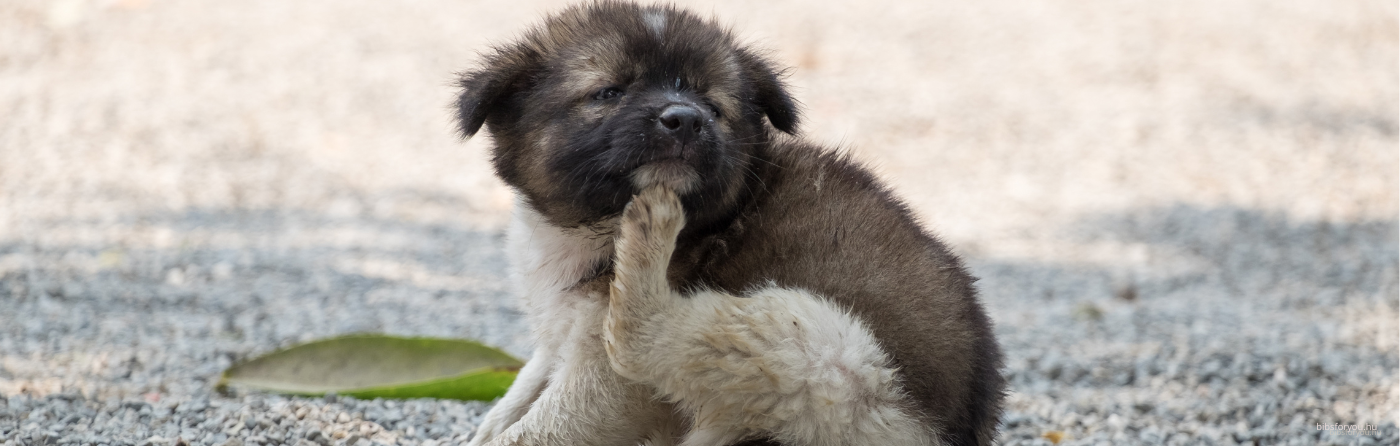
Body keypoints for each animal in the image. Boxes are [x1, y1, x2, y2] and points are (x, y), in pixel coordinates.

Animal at [453, 1, 1002, 444]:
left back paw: (651, 235)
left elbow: (536, 429)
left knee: (644, 338)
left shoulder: (608, 384)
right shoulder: (559, 333)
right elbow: (522, 390)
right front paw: (489, 424)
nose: (685, 119)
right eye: (608, 92)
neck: (590, 228)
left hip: (821, 350)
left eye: (713, 107)